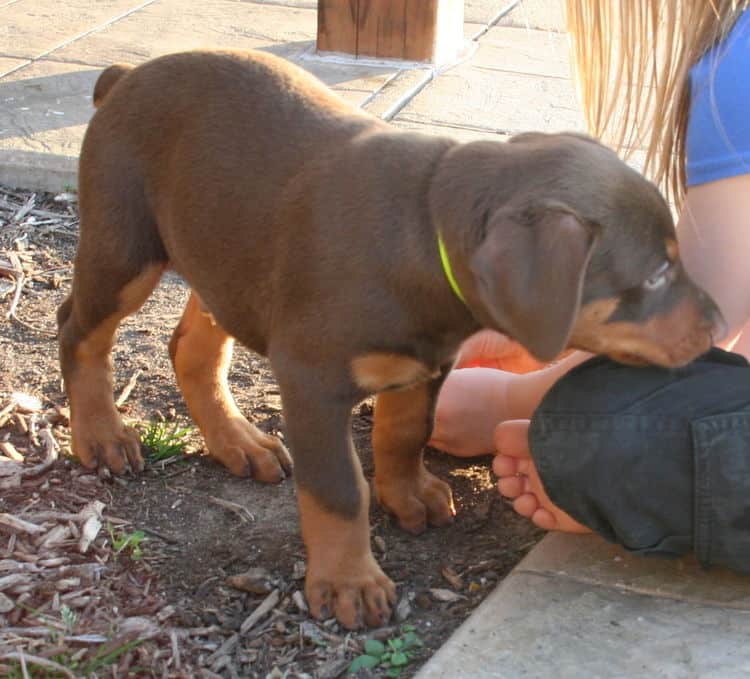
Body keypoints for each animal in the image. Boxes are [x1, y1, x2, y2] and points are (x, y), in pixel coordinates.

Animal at [57, 50, 724, 628]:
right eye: (657, 273)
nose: (719, 320)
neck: (422, 235)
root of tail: (126, 76)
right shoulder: (312, 380)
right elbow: (339, 491)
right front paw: (348, 583)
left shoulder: (425, 365)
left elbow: (405, 433)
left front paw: (409, 494)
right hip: (126, 250)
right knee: (78, 331)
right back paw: (103, 436)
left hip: (223, 256)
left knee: (192, 348)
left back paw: (238, 441)